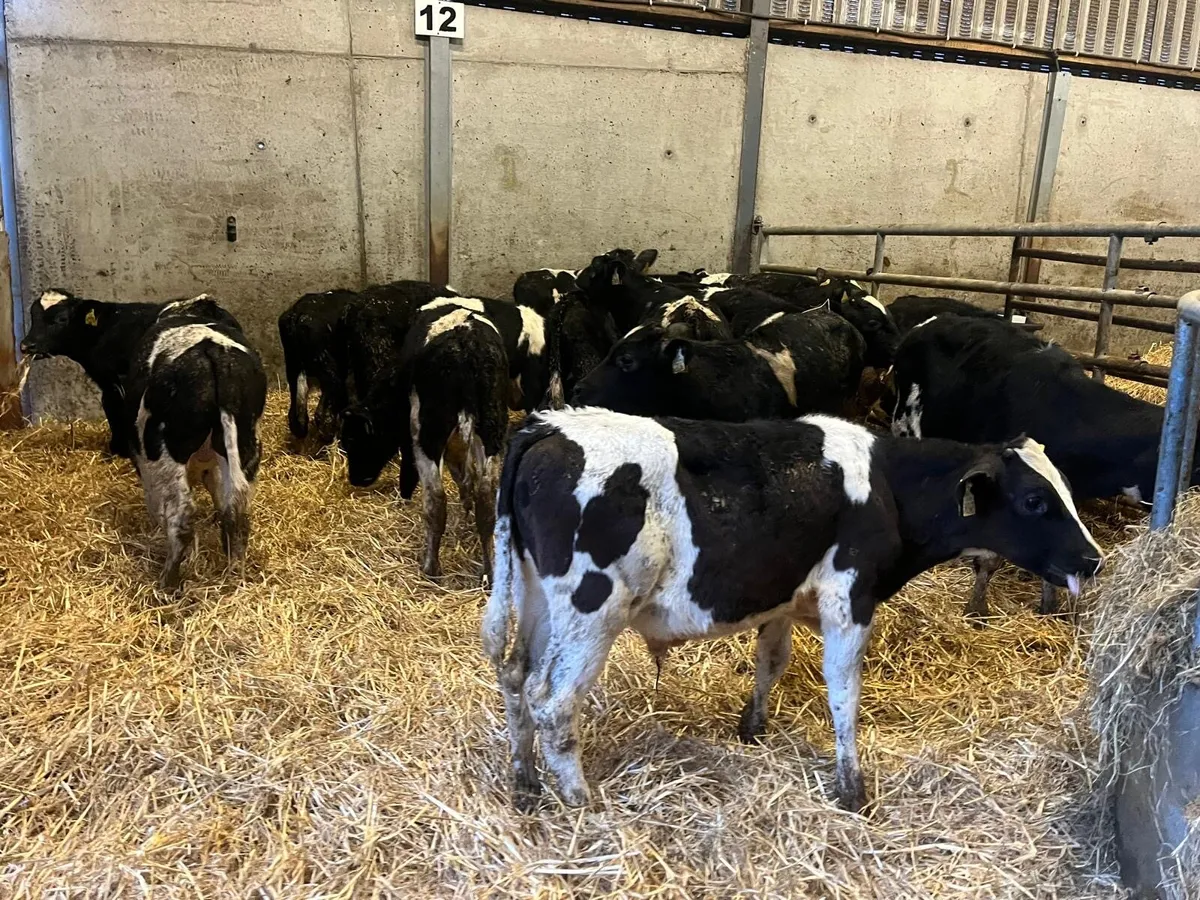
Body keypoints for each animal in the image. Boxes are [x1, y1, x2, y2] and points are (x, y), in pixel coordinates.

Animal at [121, 301, 267, 589]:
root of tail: (212, 351)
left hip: (162, 451)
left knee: (182, 516)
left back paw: (167, 582)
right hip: (245, 443)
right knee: (237, 510)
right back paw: (235, 573)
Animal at [340, 305, 508, 579]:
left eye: (354, 440)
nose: (356, 478)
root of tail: (464, 340)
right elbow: (467, 476)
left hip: (427, 434)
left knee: (436, 499)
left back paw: (430, 567)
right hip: (492, 428)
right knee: (486, 499)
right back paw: (490, 570)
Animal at [482, 407, 1104, 812]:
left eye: (1066, 491)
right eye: (1034, 500)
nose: (1093, 558)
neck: (886, 488)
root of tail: (547, 428)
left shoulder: (782, 597)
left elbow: (771, 662)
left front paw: (752, 727)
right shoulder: (850, 599)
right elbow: (844, 692)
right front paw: (852, 789)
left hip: (536, 597)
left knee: (515, 676)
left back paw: (525, 784)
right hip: (592, 610)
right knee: (552, 702)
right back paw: (582, 803)